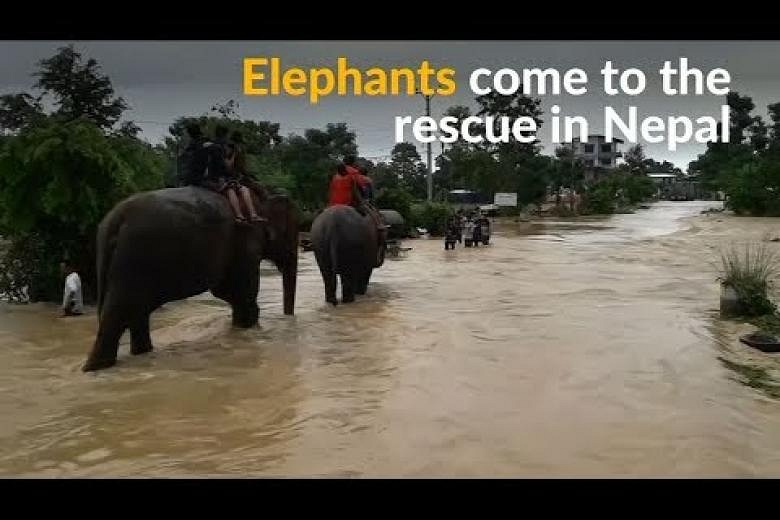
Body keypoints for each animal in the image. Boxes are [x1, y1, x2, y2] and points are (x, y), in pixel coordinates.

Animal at [81, 185, 296, 372]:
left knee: (135, 312)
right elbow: (242, 295)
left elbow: (230, 294)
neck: (261, 198)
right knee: (119, 313)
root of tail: (116, 221)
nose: (288, 319)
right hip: (135, 260)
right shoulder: (246, 241)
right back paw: (96, 368)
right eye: (291, 233)